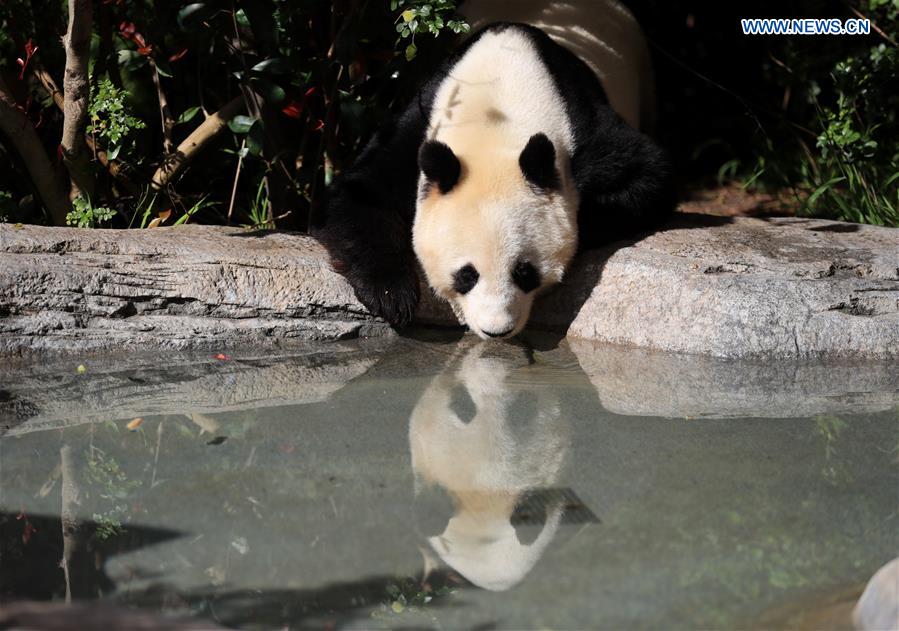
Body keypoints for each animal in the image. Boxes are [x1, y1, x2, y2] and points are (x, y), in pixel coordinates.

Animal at [314, 2, 675, 339]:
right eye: (466, 275)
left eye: (524, 272)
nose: (497, 330)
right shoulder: (419, 127)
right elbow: (361, 193)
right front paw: (392, 295)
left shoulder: (583, 129)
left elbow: (647, 175)